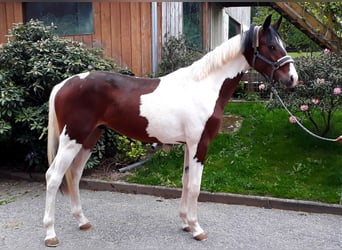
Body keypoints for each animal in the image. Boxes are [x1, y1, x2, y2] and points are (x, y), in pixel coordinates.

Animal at [44, 15, 298, 246]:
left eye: (282, 44)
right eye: (271, 46)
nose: (293, 79)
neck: (204, 86)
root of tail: (63, 84)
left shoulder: (188, 145)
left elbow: (185, 182)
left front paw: (186, 223)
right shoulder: (199, 144)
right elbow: (195, 186)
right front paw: (197, 228)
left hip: (88, 138)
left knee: (75, 174)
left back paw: (82, 221)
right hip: (72, 139)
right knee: (53, 176)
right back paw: (50, 234)